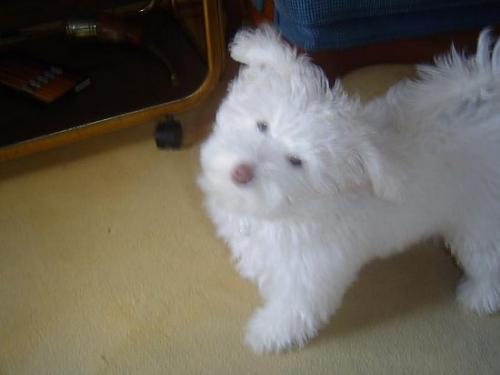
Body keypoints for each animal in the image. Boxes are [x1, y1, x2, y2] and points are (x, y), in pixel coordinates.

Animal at [197, 25, 500, 354]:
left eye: (296, 161)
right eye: (262, 125)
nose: (242, 172)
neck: (291, 208)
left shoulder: (311, 272)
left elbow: (294, 308)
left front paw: (266, 334)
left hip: (478, 222)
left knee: (487, 262)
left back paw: (478, 297)